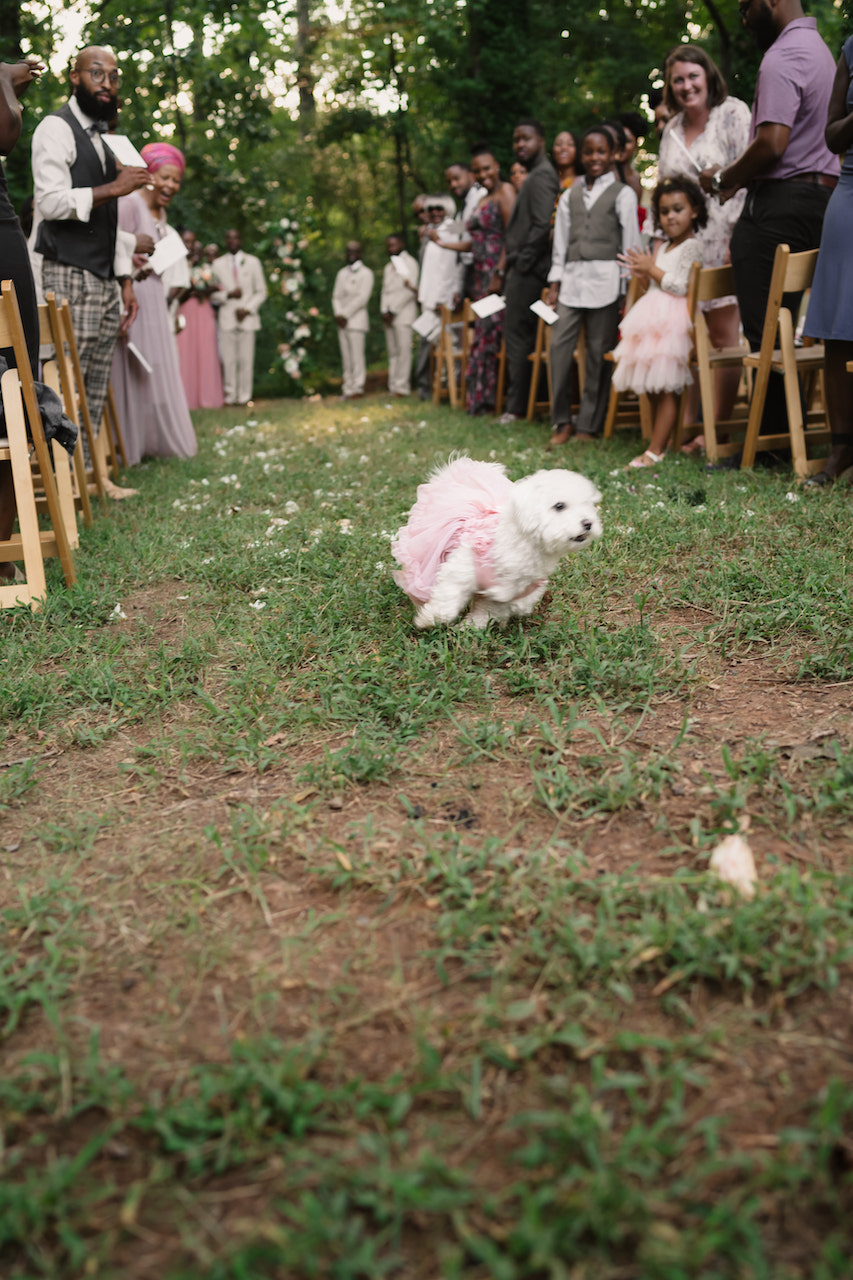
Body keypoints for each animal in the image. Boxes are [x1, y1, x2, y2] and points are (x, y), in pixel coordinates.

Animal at [389, 455, 596, 629]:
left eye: (589, 505)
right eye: (559, 506)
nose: (588, 523)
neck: (525, 546)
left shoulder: (508, 596)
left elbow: (486, 612)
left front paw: (469, 628)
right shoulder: (460, 571)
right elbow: (446, 603)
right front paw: (427, 620)